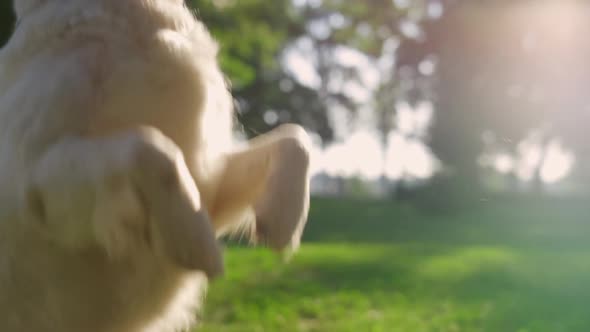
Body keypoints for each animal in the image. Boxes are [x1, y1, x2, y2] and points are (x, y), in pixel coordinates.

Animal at [0, 1, 314, 330]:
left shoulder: (209, 182)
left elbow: (295, 136)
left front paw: (282, 223)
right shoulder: (37, 182)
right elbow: (150, 146)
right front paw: (198, 247)